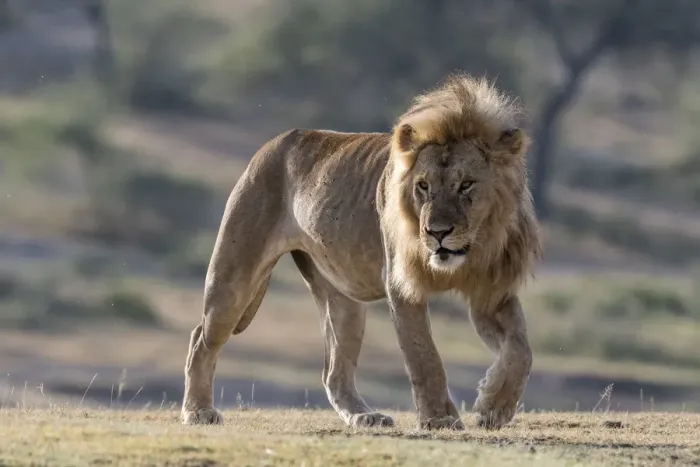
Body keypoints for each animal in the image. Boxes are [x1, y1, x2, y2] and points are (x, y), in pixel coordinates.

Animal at [181, 73, 541, 431]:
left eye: (466, 185)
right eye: (423, 186)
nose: (437, 233)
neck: (474, 247)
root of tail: (277, 140)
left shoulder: (491, 291)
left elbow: (521, 350)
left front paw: (494, 407)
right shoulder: (401, 285)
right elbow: (425, 357)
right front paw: (440, 418)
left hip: (343, 300)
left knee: (334, 372)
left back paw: (364, 416)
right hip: (235, 275)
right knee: (201, 338)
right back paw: (198, 411)